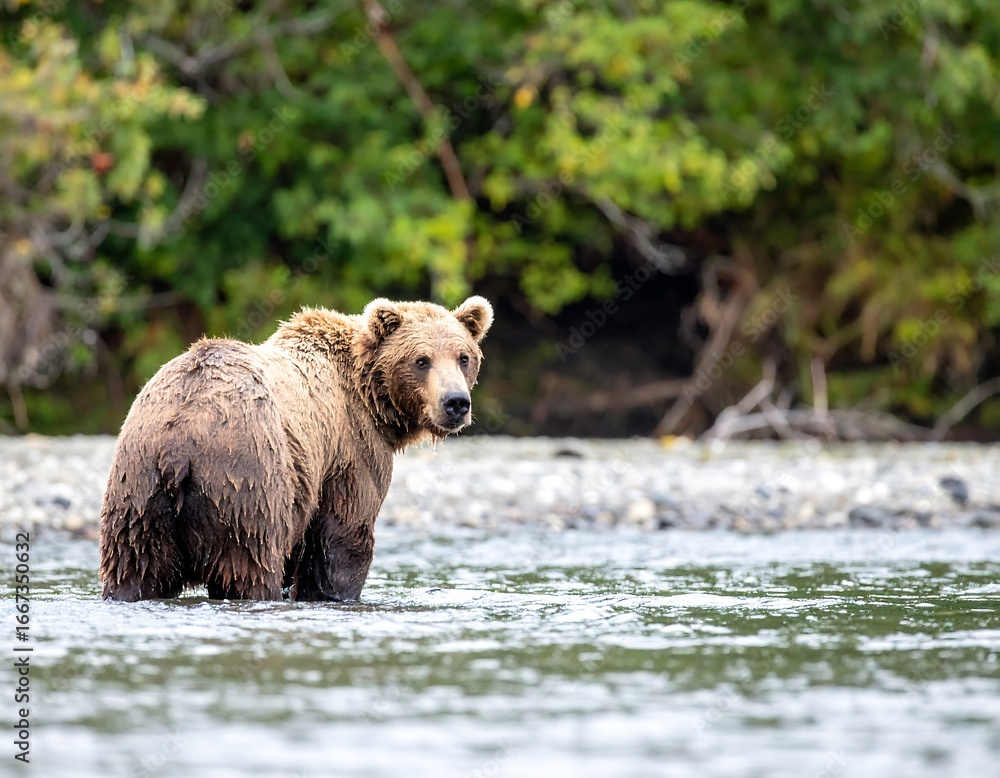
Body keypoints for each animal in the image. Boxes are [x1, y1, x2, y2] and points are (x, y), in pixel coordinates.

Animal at [98, 296, 493, 603]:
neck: (370, 396)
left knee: (135, 569)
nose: (456, 403)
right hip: (246, 478)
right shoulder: (351, 449)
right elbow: (344, 537)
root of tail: (180, 441)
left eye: (463, 357)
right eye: (421, 360)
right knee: (249, 563)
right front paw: (334, 592)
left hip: (137, 491)